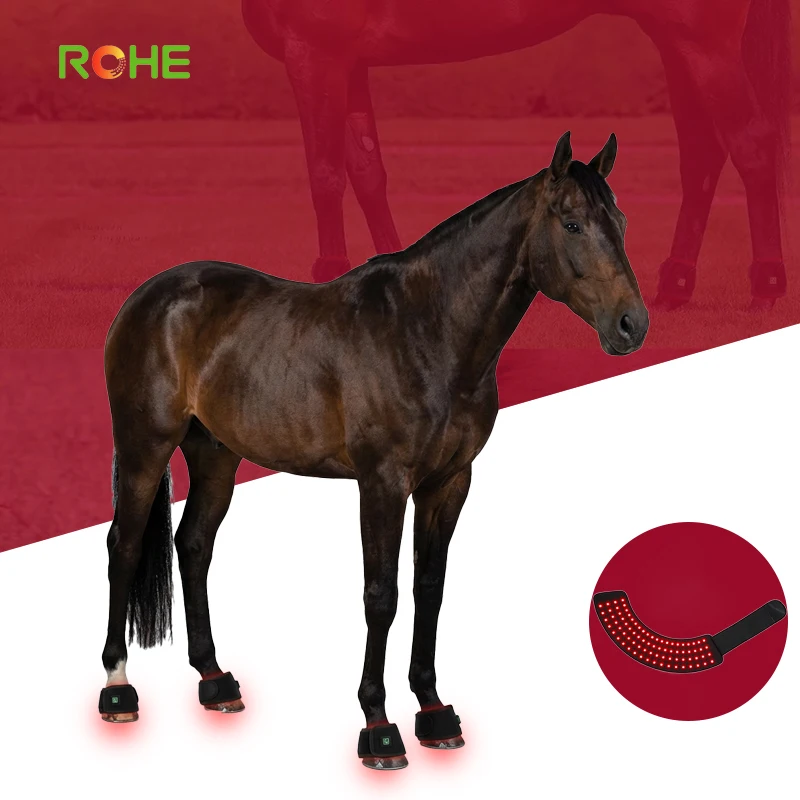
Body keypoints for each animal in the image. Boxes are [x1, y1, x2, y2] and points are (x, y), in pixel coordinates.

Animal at [98, 132, 648, 769]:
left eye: (621, 222)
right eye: (572, 222)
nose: (632, 324)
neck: (428, 331)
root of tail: (147, 295)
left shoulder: (448, 484)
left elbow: (429, 590)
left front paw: (434, 714)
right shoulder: (382, 484)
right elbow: (380, 596)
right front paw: (379, 727)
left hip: (216, 456)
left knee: (193, 546)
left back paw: (215, 682)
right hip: (145, 447)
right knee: (125, 546)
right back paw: (117, 689)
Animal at [242, 0, 789, 310]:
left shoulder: (316, 55)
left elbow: (325, 173)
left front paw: (331, 267)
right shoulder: (350, 64)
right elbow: (366, 169)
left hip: (705, 43)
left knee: (751, 143)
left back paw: (767, 284)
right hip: (677, 43)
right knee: (702, 152)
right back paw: (677, 283)